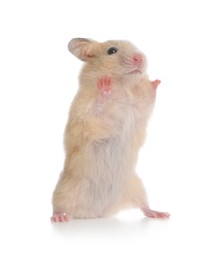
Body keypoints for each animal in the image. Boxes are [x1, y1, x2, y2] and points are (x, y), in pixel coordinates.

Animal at [51, 37, 170, 222]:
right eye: (112, 51)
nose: (140, 58)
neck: (123, 87)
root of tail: (95, 213)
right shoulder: (87, 114)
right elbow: (99, 107)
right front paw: (105, 86)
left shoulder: (138, 110)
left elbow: (148, 98)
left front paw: (155, 82)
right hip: (63, 190)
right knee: (57, 206)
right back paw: (59, 218)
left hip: (136, 187)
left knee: (144, 206)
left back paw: (160, 214)